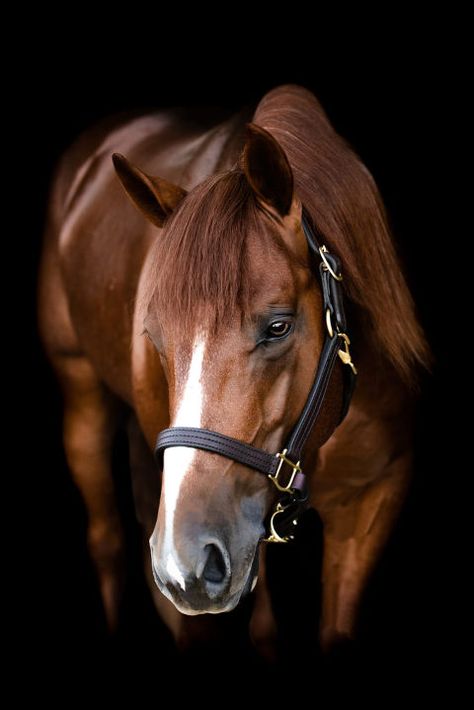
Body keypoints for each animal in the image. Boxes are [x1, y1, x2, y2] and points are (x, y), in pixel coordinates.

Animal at [38, 87, 430, 656]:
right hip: (82, 394)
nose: (182, 564)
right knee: (107, 541)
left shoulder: (372, 502)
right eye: (154, 336)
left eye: (277, 326)